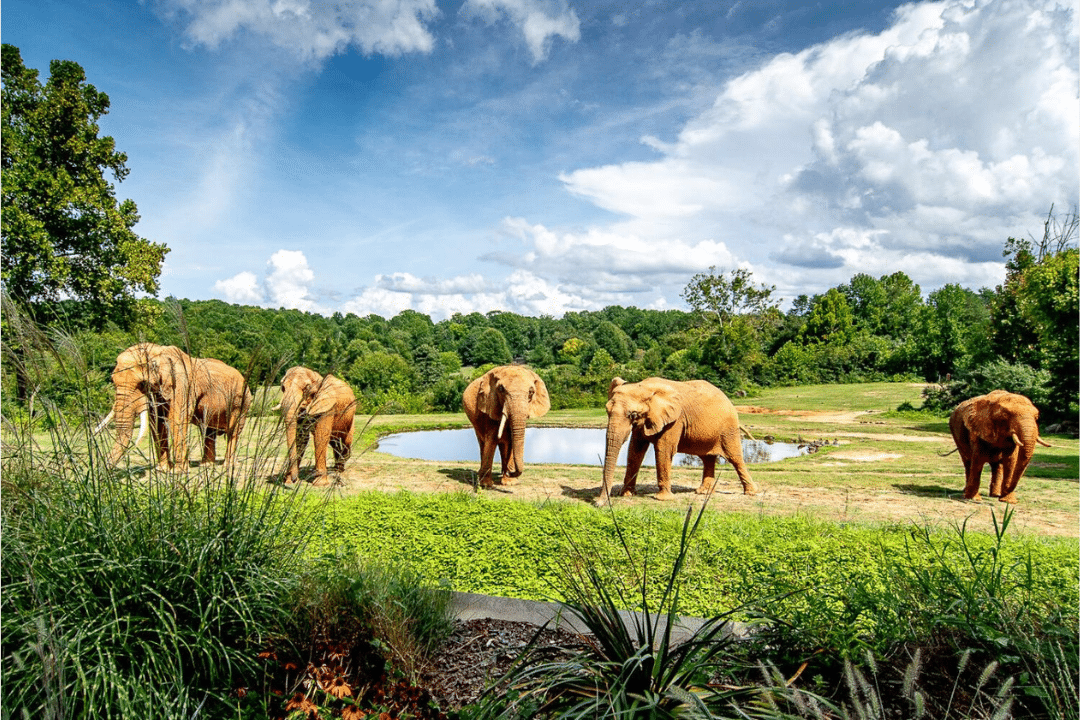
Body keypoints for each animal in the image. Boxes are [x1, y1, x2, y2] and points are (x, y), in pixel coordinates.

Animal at [98, 343, 251, 468]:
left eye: (142, 384)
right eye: (112, 380)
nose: (103, 468)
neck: (159, 351)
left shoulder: (182, 385)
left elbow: (178, 419)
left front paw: (178, 472)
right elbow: (157, 423)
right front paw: (163, 470)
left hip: (242, 402)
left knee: (233, 431)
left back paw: (228, 466)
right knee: (209, 431)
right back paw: (206, 465)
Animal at [600, 377, 760, 507]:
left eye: (633, 414)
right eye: (607, 411)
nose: (598, 504)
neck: (644, 387)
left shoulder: (675, 421)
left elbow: (663, 450)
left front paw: (662, 499)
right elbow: (635, 450)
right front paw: (626, 495)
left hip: (728, 428)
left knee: (735, 458)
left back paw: (751, 493)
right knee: (707, 459)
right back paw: (703, 492)